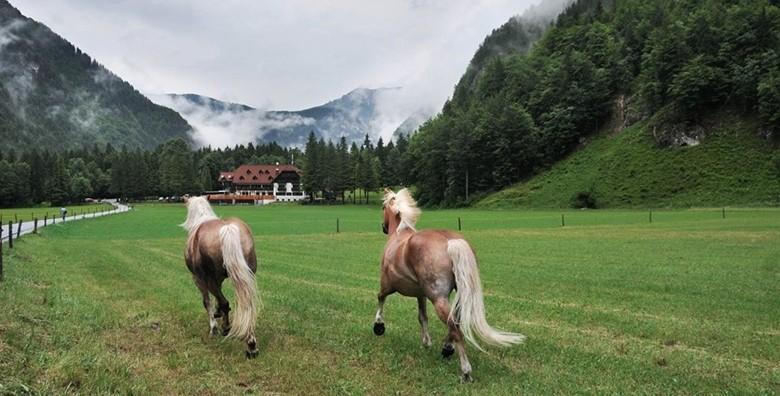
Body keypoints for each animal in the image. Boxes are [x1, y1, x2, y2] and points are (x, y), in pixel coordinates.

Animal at [181, 196, 260, 358]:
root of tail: (228, 229)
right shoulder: (220, 279)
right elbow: (219, 299)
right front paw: (219, 316)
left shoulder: (199, 279)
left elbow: (208, 302)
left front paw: (214, 327)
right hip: (247, 276)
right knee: (247, 304)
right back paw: (251, 344)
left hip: (207, 279)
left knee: (224, 302)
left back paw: (227, 329)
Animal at [374, 188, 528, 380]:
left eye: (382, 207)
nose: (383, 227)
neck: (399, 237)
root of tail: (451, 242)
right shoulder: (420, 294)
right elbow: (422, 317)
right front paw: (426, 343)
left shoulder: (388, 285)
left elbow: (380, 298)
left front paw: (378, 326)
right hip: (458, 294)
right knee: (455, 320)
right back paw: (447, 348)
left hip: (438, 298)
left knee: (454, 327)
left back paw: (465, 371)